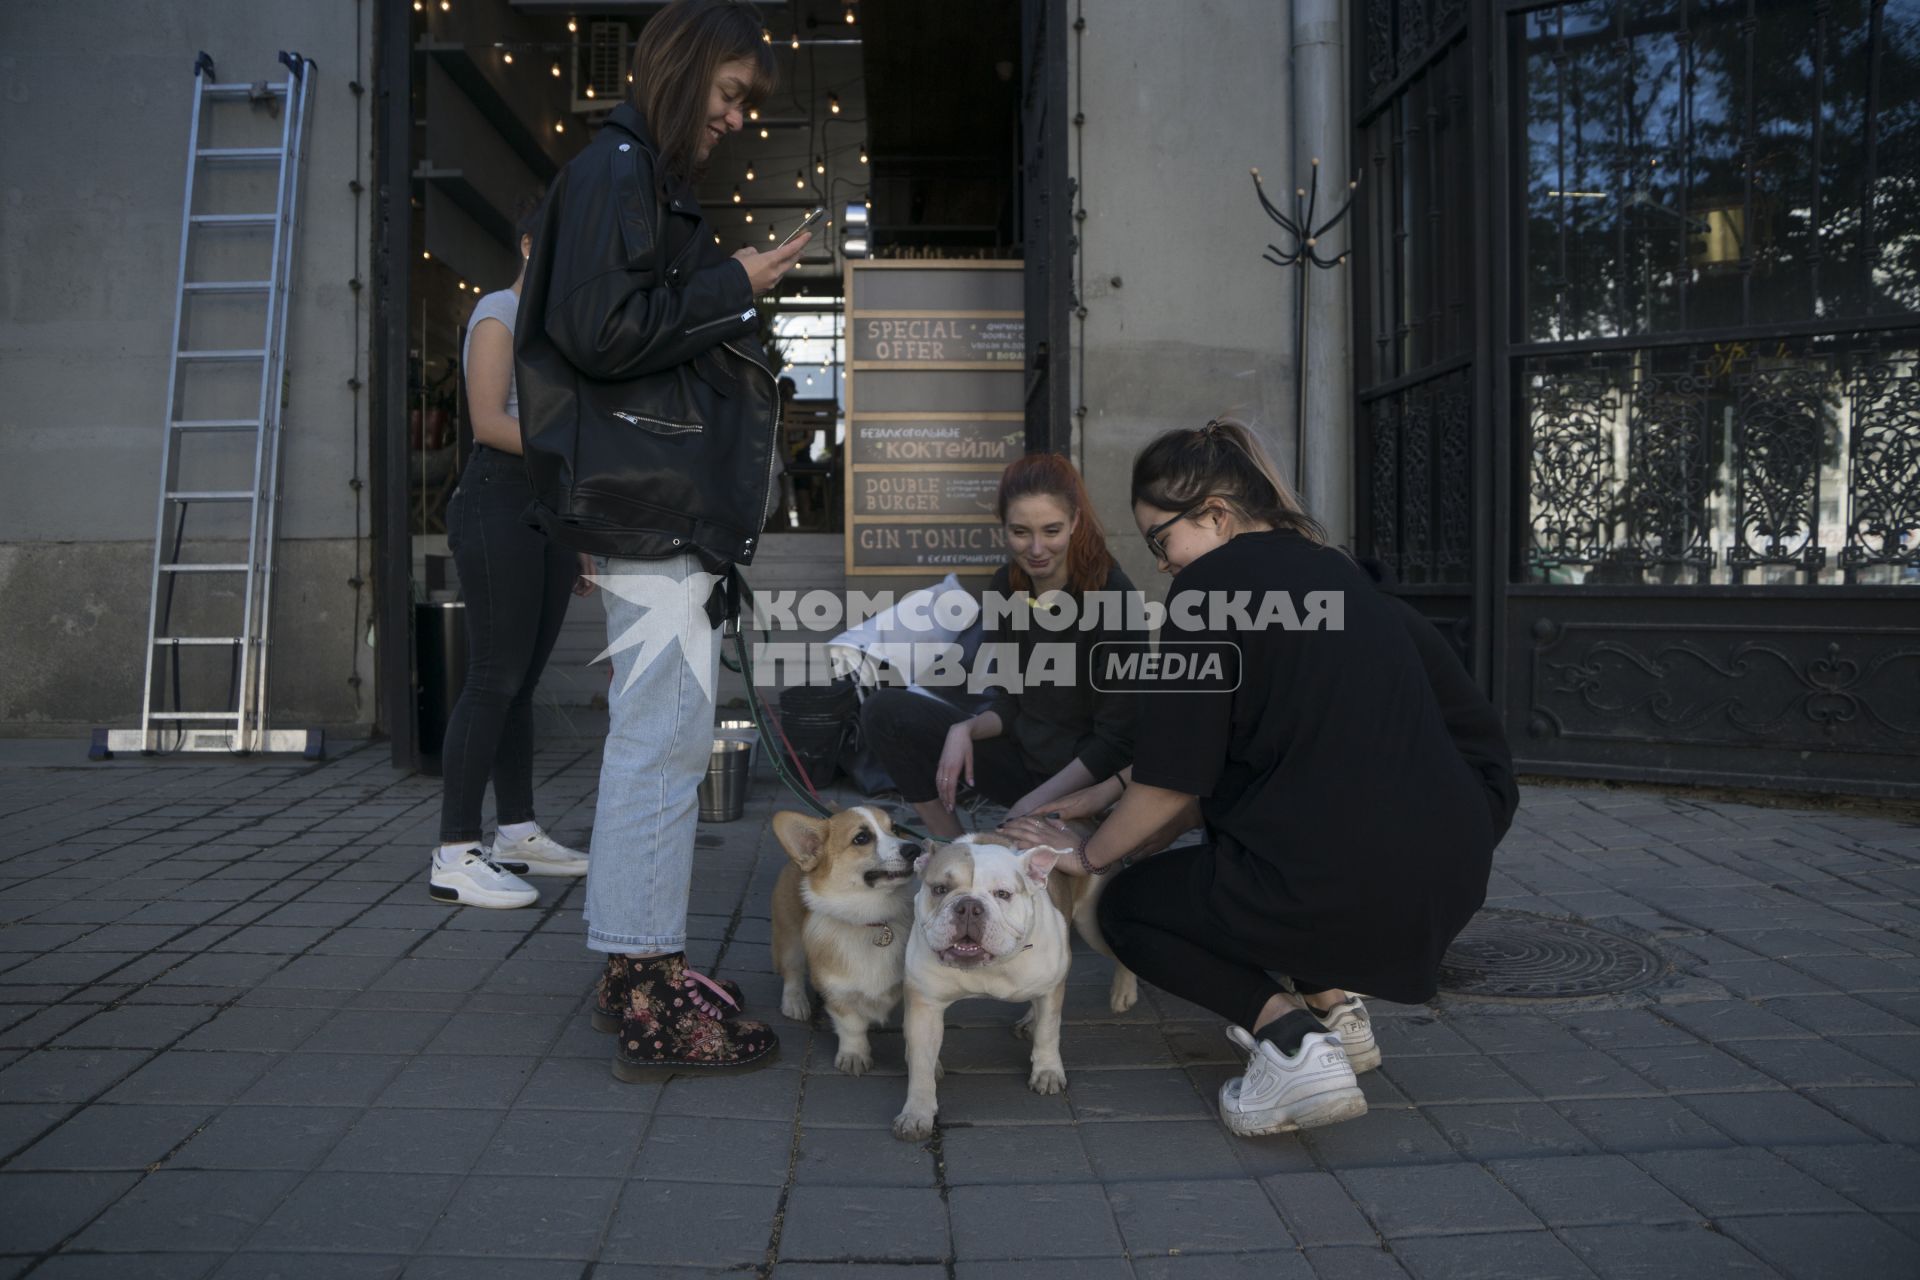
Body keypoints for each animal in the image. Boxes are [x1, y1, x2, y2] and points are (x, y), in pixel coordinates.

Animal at [768, 805, 917, 1074]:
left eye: (895, 828)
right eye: (861, 838)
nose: (915, 849)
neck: (872, 920)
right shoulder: (837, 990)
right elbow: (852, 1025)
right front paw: (854, 1055)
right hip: (789, 935)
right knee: (792, 971)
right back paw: (795, 1002)